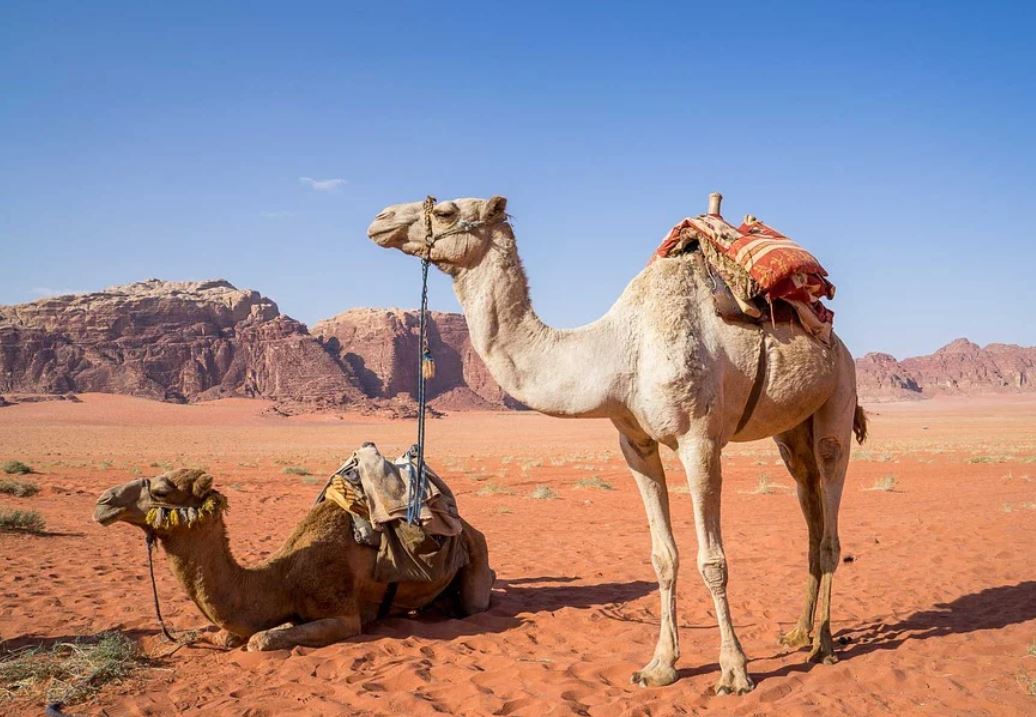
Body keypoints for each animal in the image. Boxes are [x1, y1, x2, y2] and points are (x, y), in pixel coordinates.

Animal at [93, 468, 493, 650]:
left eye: (161, 490)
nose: (103, 502)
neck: (283, 578)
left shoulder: (344, 614)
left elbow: (260, 640)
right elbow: (231, 635)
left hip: (476, 550)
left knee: (476, 601)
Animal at [366, 195, 866, 694]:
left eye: (446, 211)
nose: (380, 220)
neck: (619, 353)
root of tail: (835, 338)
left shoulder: (699, 440)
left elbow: (712, 561)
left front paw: (734, 671)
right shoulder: (635, 444)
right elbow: (663, 557)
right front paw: (660, 665)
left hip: (838, 396)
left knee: (829, 514)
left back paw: (823, 645)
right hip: (791, 430)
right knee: (808, 504)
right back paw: (798, 633)